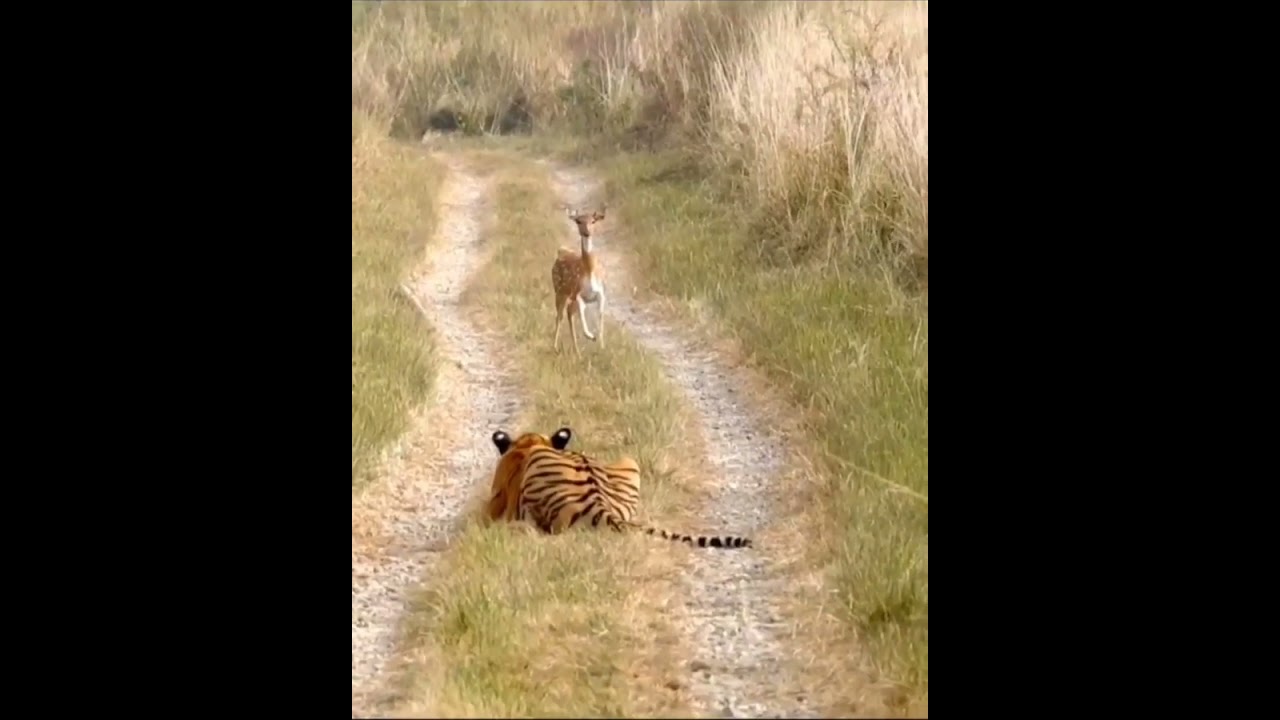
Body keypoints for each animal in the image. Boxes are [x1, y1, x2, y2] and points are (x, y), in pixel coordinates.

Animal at [551, 205, 607, 354]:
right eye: (578, 221)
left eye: (593, 221)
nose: (587, 232)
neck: (589, 272)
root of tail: (561, 252)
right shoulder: (577, 294)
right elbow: (582, 315)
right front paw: (590, 335)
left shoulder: (601, 293)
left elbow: (600, 317)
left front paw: (601, 345)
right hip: (559, 291)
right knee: (561, 315)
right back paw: (556, 347)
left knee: (568, 313)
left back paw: (575, 350)